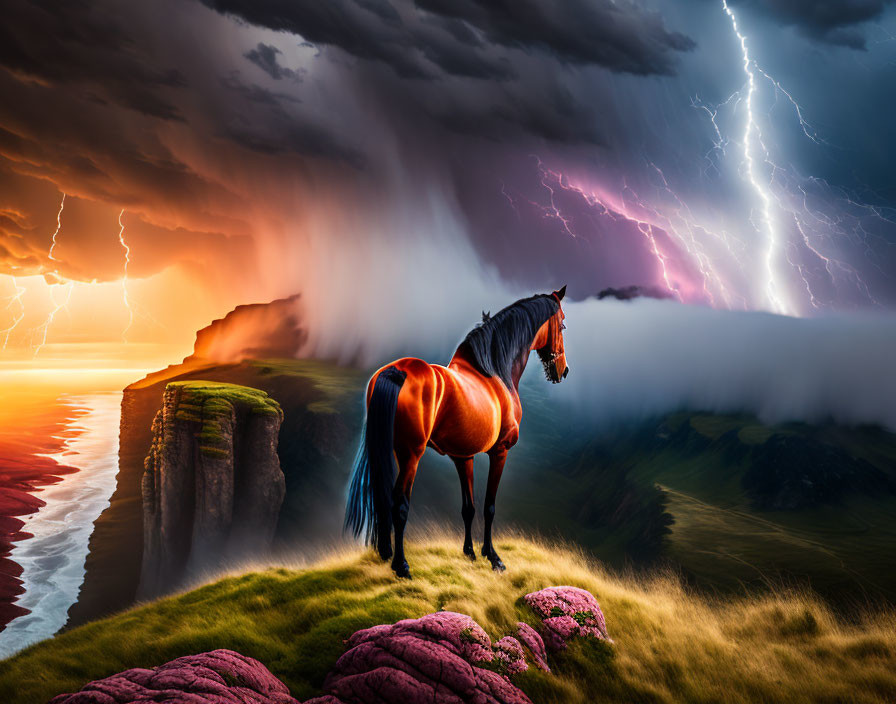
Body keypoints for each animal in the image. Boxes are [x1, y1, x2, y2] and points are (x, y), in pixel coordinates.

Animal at [344, 286, 568, 576]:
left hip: (388, 449)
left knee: (382, 499)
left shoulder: (464, 457)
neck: (493, 371)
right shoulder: (500, 452)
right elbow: (489, 507)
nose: (563, 370)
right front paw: (493, 557)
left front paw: (470, 552)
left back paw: (386, 553)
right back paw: (401, 565)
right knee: (399, 504)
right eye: (562, 325)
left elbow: (468, 507)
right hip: (410, 455)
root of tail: (395, 371)